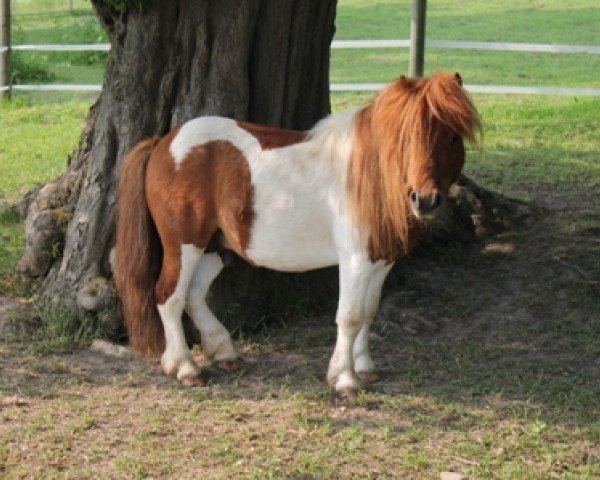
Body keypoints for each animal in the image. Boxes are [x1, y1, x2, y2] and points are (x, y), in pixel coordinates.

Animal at [115, 72, 480, 398]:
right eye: (405, 138)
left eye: (453, 137)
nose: (426, 200)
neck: (370, 175)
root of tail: (162, 143)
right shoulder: (355, 261)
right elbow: (349, 316)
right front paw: (344, 379)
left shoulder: (380, 261)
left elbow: (369, 311)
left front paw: (363, 367)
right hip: (184, 245)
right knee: (169, 297)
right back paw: (185, 368)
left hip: (215, 248)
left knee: (193, 295)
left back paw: (220, 353)